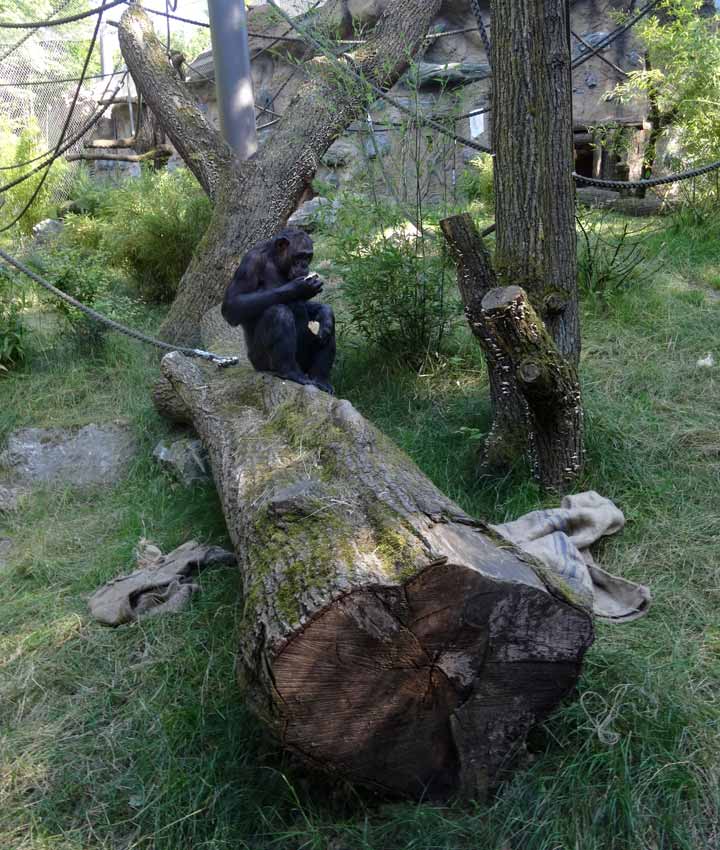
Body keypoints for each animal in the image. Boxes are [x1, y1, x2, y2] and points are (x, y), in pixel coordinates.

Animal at [221, 229, 336, 394]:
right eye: (299, 256)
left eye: (308, 256)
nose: (304, 265)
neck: (276, 261)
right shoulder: (250, 263)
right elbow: (232, 304)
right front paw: (298, 288)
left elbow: (317, 312)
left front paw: (325, 312)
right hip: (260, 361)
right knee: (278, 312)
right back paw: (290, 372)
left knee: (328, 327)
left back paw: (320, 379)